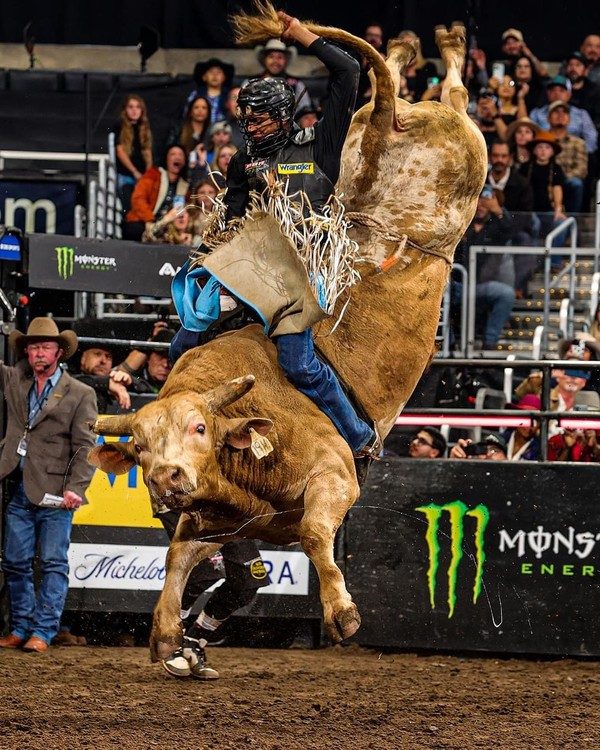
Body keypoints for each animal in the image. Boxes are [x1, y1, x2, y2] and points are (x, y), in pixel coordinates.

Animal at [90, 2, 487, 661]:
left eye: (200, 427)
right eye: (139, 447)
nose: (168, 480)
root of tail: (393, 125)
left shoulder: (333, 478)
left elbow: (317, 534)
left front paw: (343, 614)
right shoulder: (218, 523)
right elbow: (177, 559)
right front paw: (171, 636)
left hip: (464, 160)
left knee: (436, 92)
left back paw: (440, 45)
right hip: (392, 134)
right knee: (395, 86)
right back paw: (415, 46)